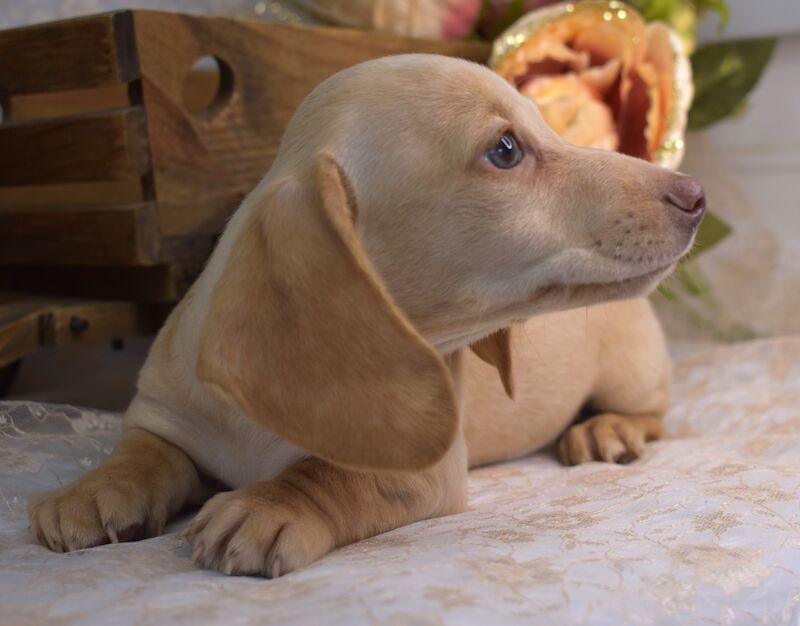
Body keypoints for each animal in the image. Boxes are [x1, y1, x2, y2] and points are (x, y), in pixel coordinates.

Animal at [28, 54, 708, 576]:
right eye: (506, 149)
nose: (697, 196)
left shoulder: (421, 472)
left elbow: (336, 475)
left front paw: (275, 503)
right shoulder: (163, 416)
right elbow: (142, 452)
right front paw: (95, 490)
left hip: (630, 373)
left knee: (653, 411)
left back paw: (607, 428)